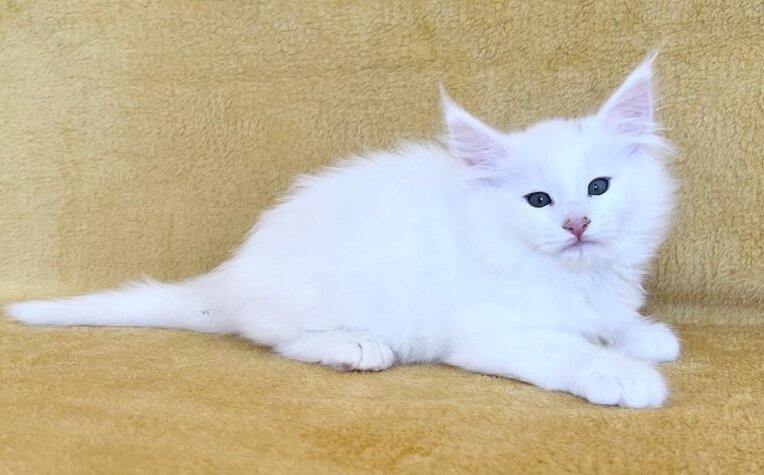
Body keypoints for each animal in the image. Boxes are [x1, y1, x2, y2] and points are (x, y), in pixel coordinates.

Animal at [7, 54, 680, 408]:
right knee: (277, 339)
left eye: (598, 187)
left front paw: (642, 335)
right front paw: (624, 374)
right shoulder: (493, 332)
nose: (576, 222)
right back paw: (355, 348)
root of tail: (232, 275)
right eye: (538, 200)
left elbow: (614, 322)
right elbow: (568, 349)